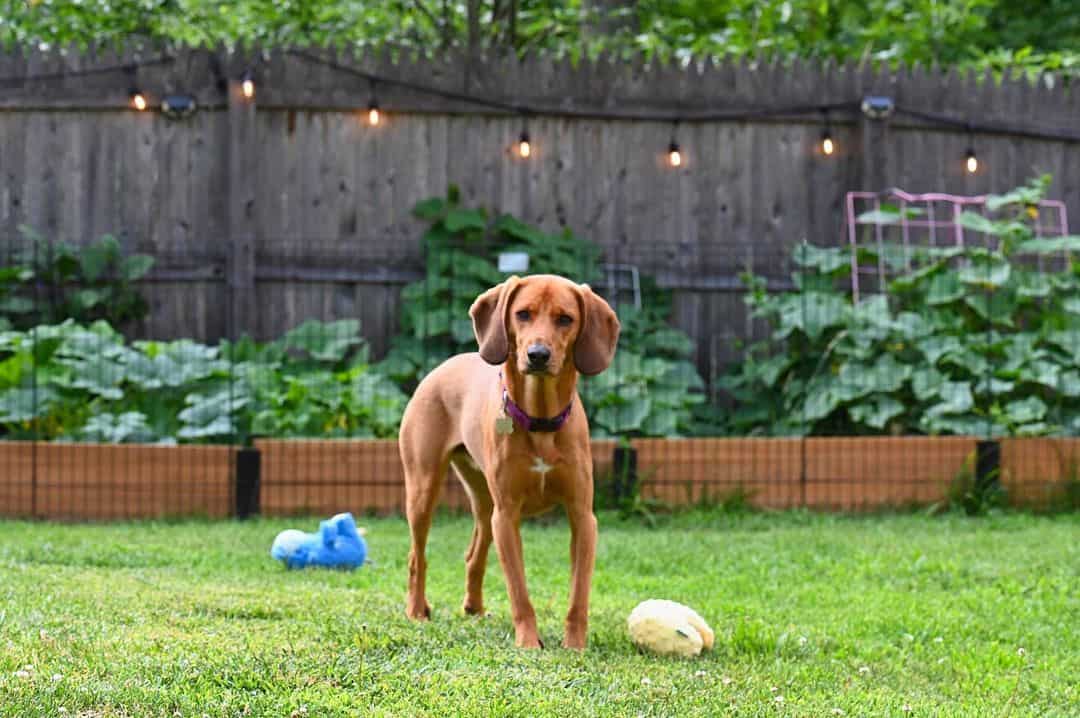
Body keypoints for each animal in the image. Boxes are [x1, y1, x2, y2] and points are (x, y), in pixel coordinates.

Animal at [399, 272, 622, 647]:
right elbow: (519, 592)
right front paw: (529, 643)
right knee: (418, 556)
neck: (540, 420)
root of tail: (443, 366)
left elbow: (579, 594)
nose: (538, 355)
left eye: (565, 319)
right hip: (423, 491)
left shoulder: (582, 516)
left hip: (484, 502)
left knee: (474, 555)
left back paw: (474, 608)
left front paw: (575, 646)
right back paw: (416, 610)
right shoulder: (507, 517)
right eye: (523, 314)